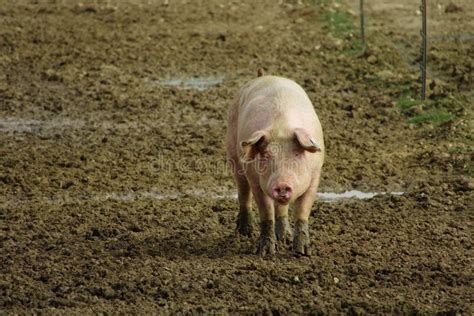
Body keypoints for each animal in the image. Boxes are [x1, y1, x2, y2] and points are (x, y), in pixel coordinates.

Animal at [227, 70, 326, 256]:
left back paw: (285, 237)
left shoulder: (315, 176)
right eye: (266, 155)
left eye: (296, 153)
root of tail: (265, 76)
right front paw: (265, 252)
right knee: (243, 193)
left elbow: (302, 210)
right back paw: (245, 232)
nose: (282, 184)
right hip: (234, 156)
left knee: (281, 209)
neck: (282, 128)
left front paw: (302, 252)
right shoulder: (255, 180)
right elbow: (266, 212)